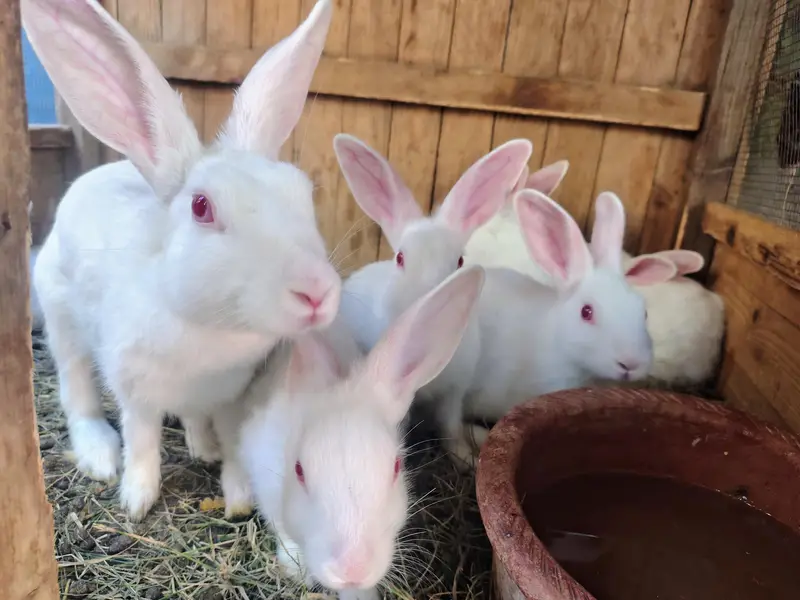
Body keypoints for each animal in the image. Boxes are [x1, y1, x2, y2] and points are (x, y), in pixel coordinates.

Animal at [23, 0, 337, 521]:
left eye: (303, 191)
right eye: (201, 207)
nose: (317, 292)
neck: (211, 333)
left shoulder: (231, 395)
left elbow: (232, 442)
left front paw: (237, 495)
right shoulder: (135, 390)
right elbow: (143, 442)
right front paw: (137, 499)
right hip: (63, 321)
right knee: (78, 392)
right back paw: (101, 455)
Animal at [335, 135, 531, 467]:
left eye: (460, 261)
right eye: (400, 258)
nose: (431, 292)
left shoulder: (455, 392)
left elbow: (450, 427)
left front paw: (465, 457)